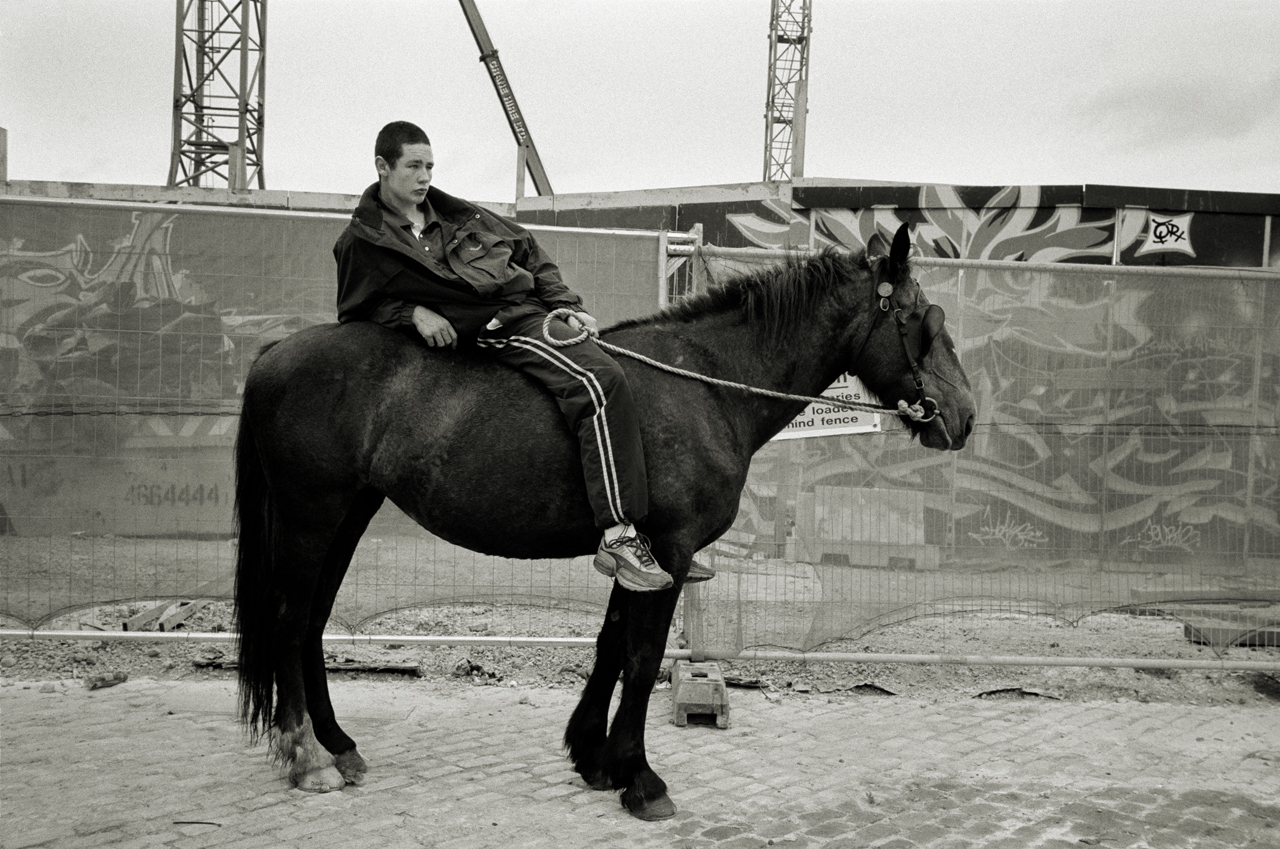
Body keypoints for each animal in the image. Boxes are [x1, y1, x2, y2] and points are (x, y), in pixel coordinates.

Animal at [230, 222, 972, 819]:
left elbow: (612, 645)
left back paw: (337, 743)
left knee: (312, 623)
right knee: (291, 622)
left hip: (346, 515)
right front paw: (640, 777)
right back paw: (308, 756)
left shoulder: (639, 555)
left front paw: (594, 755)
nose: (964, 415)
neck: (704, 384)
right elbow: (641, 659)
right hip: (311, 515)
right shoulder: (670, 549)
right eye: (920, 318)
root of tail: (272, 355)